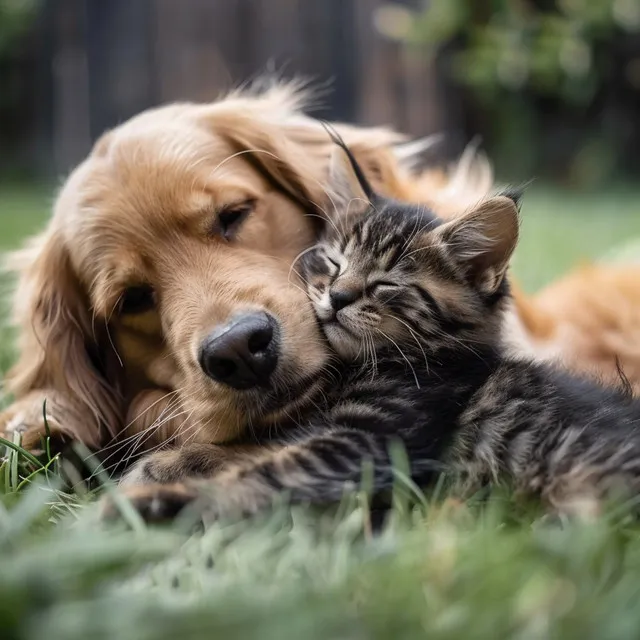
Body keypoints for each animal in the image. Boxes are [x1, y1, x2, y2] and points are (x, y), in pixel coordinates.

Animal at [112, 138, 640, 524]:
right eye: (333, 262)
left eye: (386, 283)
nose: (338, 296)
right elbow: (255, 446)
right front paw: (166, 464)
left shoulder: (369, 442)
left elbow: (266, 471)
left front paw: (160, 502)